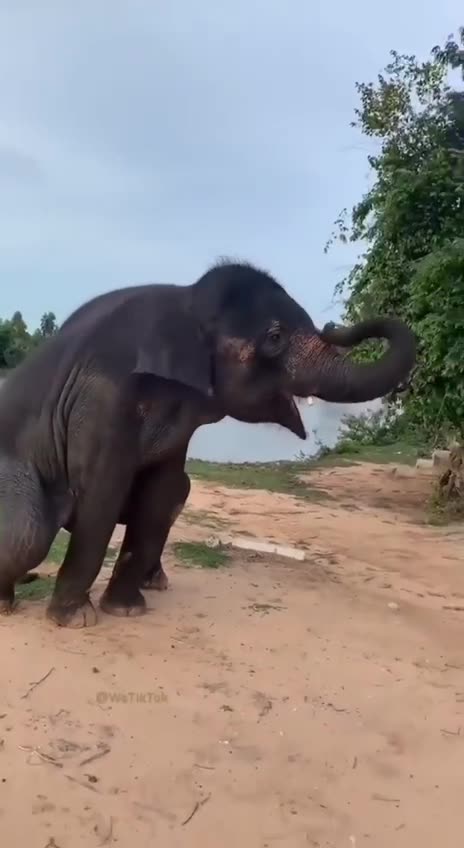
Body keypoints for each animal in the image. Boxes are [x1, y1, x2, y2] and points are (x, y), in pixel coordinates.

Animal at [0, 260, 416, 628]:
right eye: (275, 337)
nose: (335, 325)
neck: (187, 299)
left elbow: (160, 490)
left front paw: (127, 609)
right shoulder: (104, 396)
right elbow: (103, 491)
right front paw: (75, 619)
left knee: (180, 490)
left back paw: (154, 583)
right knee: (29, 533)